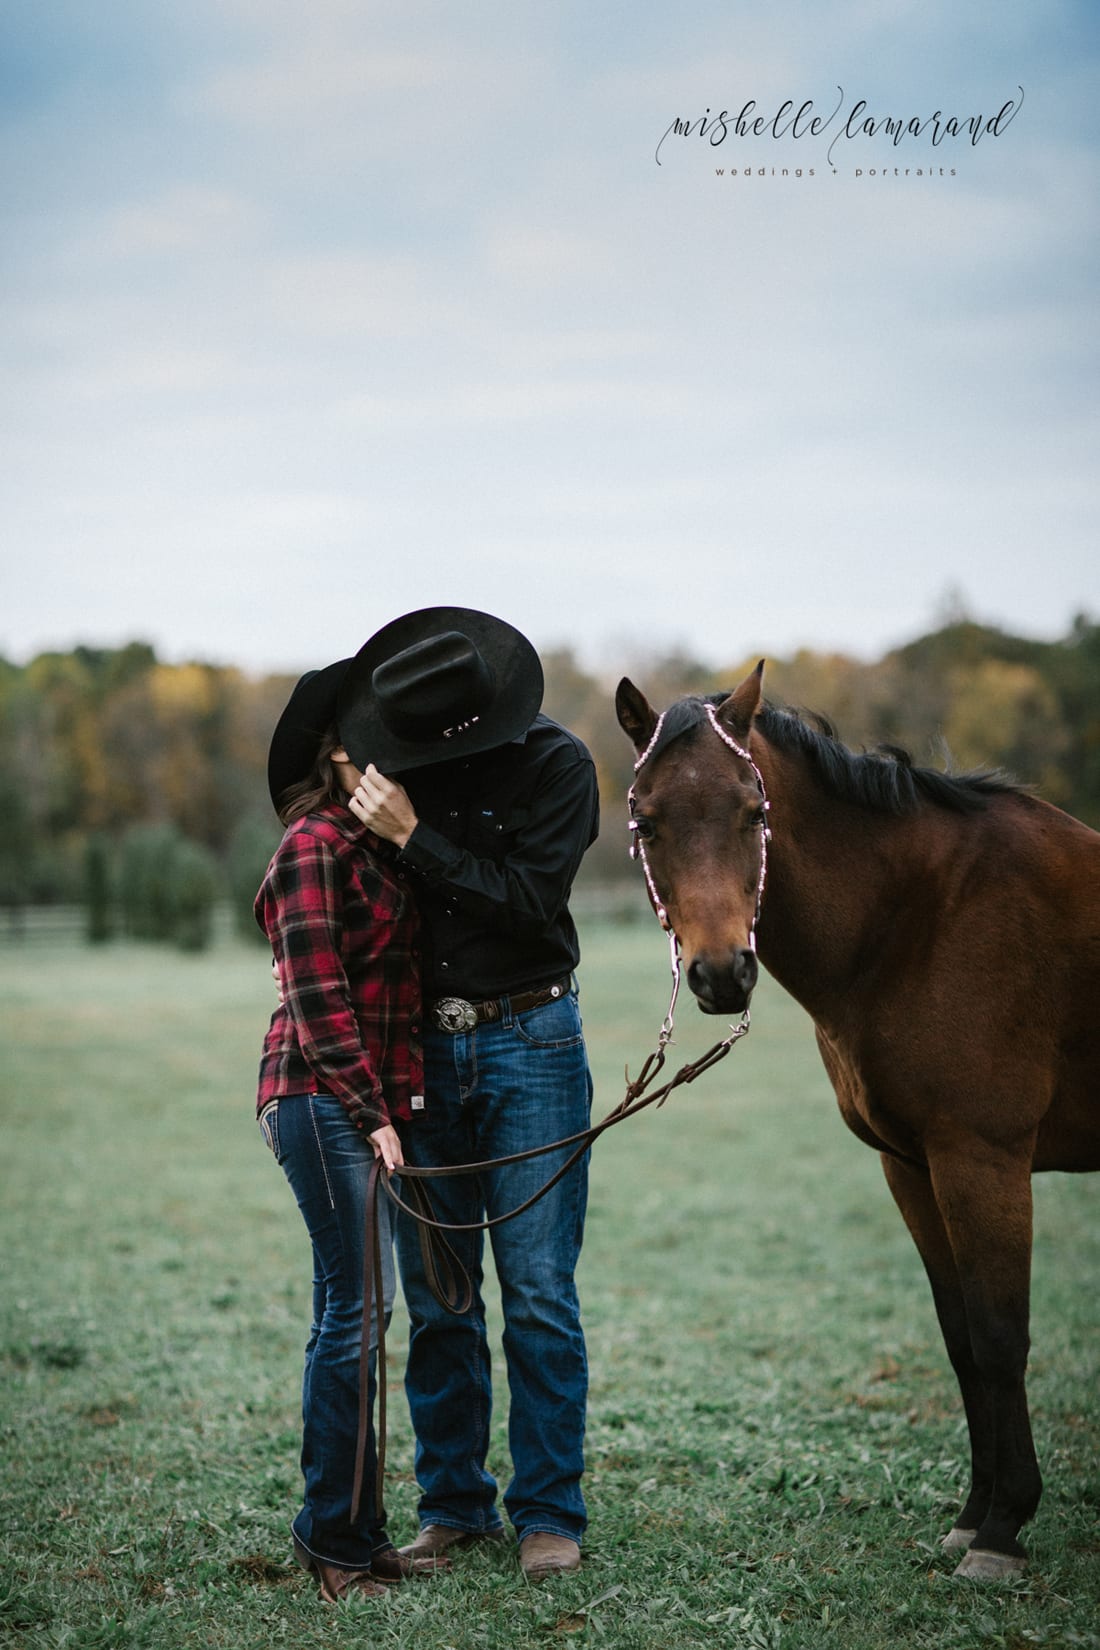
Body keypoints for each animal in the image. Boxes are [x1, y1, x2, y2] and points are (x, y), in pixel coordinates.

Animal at [616, 663, 1095, 1577]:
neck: (925, 916)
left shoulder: (982, 1160)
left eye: (754, 811)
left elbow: (1000, 1336)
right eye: (648, 822)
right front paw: (975, 1514)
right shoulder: (912, 1165)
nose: (722, 974)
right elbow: (961, 1338)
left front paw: (1004, 1529)